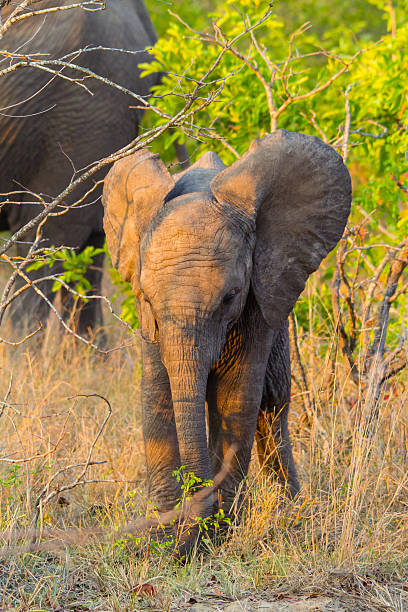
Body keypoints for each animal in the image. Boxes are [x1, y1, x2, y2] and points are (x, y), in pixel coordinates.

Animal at [103, 130, 350, 548]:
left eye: (230, 297)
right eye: (148, 299)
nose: (192, 525)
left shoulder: (258, 304)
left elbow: (236, 399)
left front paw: (214, 534)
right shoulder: (149, 321)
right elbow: (158, 396)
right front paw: (167, 538)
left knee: (271, 411)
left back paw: (293, 512)